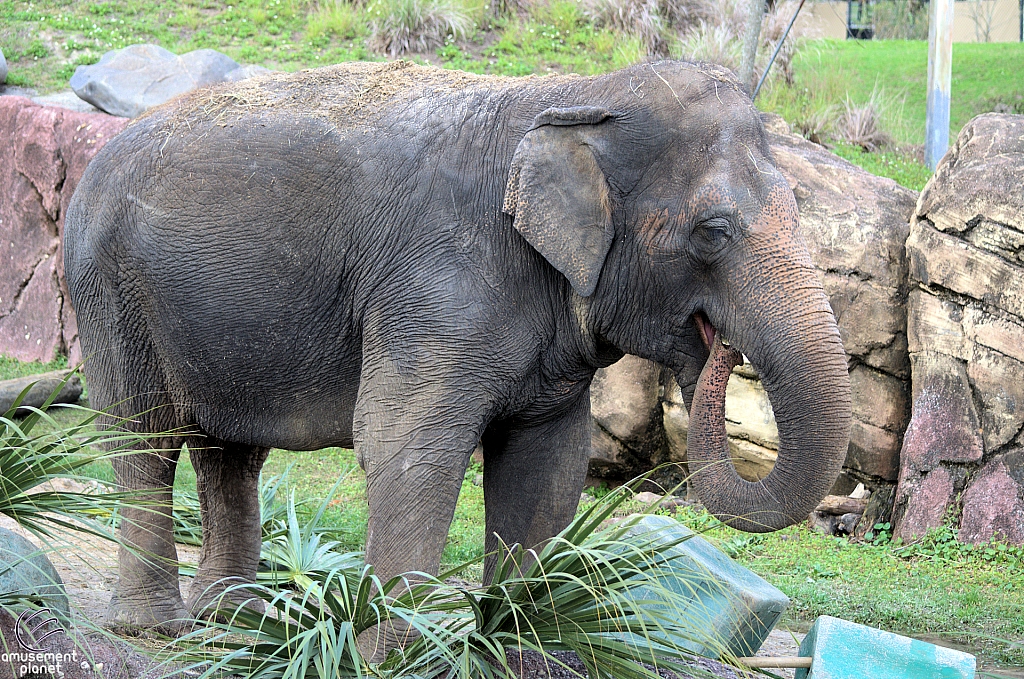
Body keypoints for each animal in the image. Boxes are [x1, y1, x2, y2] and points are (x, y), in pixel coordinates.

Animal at [59, 59, 851, 639]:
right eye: (713, 231)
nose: (721, 352)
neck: (575, 95)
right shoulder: (438, 284)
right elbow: (407, 444)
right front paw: (392, 655)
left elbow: (545, 468)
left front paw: (518, 644)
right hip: (107, 290)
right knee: (143, 439)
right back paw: (152, 629)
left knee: (230, 453)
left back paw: (234, 622)